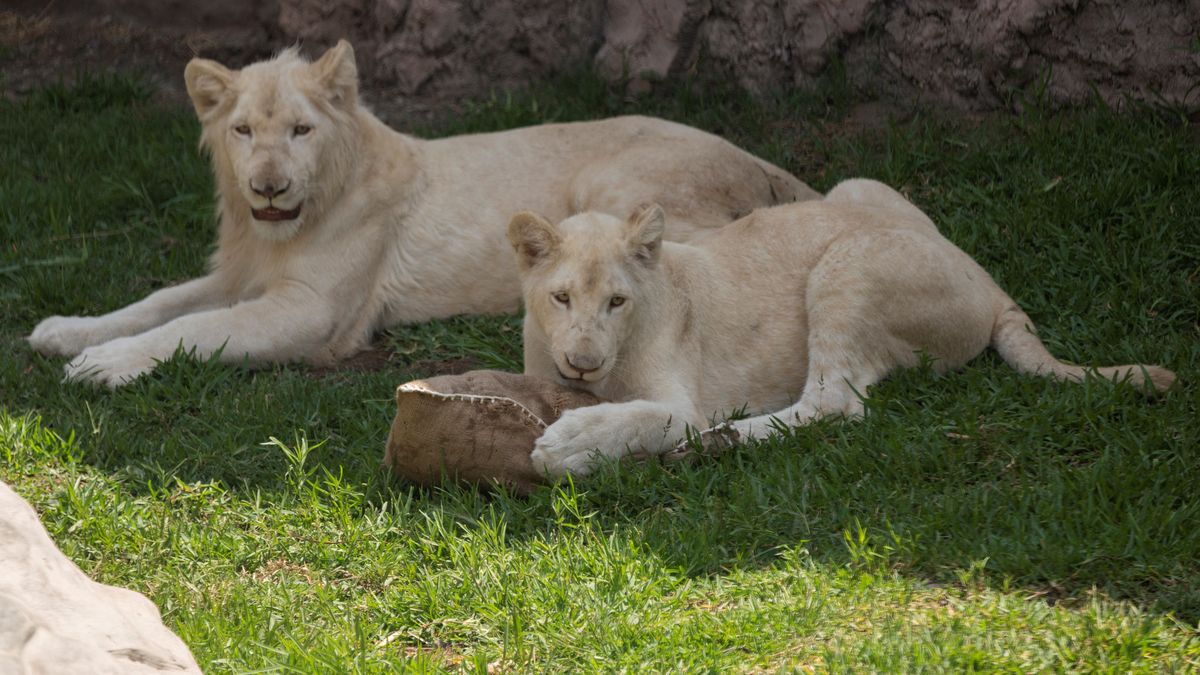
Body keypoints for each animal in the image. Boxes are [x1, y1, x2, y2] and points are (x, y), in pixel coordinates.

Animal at [506, 176, 1171, 475]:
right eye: (562, 298)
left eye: (617, 302)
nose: (584, 363)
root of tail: (991, 285)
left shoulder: (681, 401)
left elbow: (645, 417)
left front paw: (567, 445)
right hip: (857, 188)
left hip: (847, 267)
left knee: (835, 403)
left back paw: (722, 440)